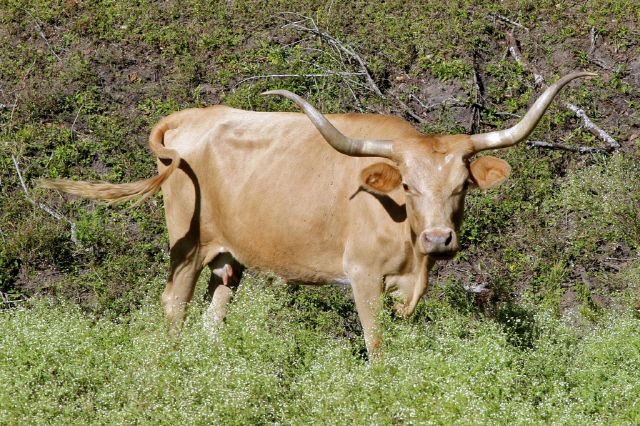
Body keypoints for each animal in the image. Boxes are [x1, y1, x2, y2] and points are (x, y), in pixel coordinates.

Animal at [38, 73, 596, 352]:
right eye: (408, 186)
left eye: (462, 187)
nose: (439, 239)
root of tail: (191, 116)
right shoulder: (363, 276)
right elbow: (377, 345)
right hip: (187, 243)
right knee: (174, 304)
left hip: (229, 257)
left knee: (214, 314)